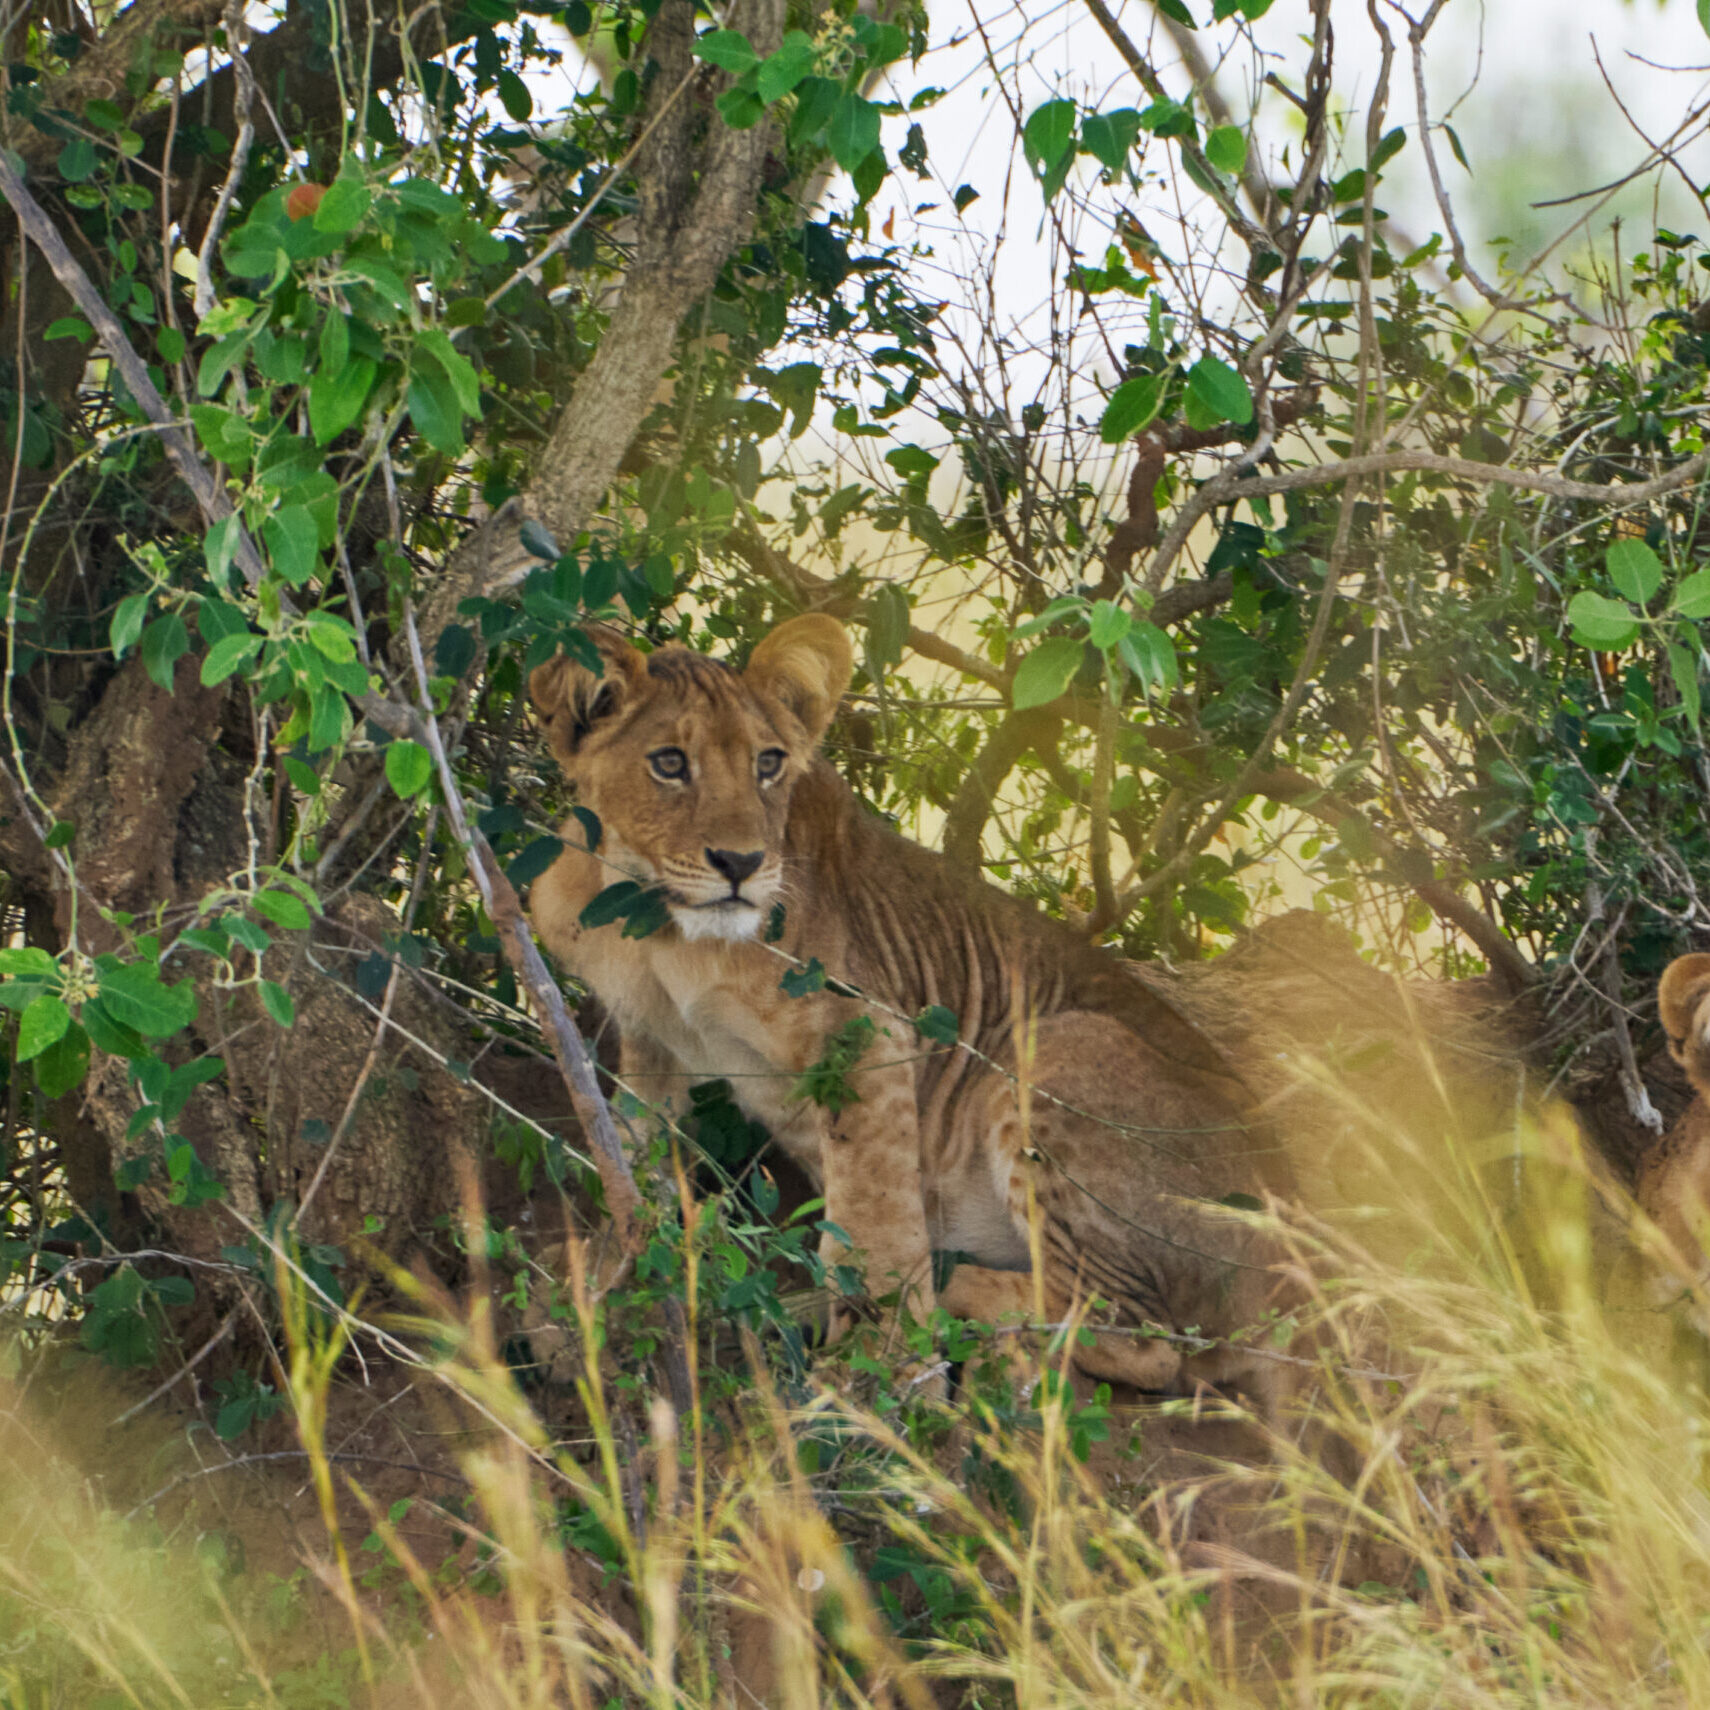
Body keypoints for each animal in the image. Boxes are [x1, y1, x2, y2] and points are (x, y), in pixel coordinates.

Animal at [528, 616, 1300, 1407]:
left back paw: (940, 1291)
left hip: (1058, 1043)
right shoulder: (652, 1041)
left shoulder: (868, 1032)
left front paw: (880, 1374)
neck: (656, 922)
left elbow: (876, 1223)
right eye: (669, 763)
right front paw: (580, 1307)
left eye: (768, 764)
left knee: (1147, 1342)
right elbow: (626, 1161)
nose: (741, 865)